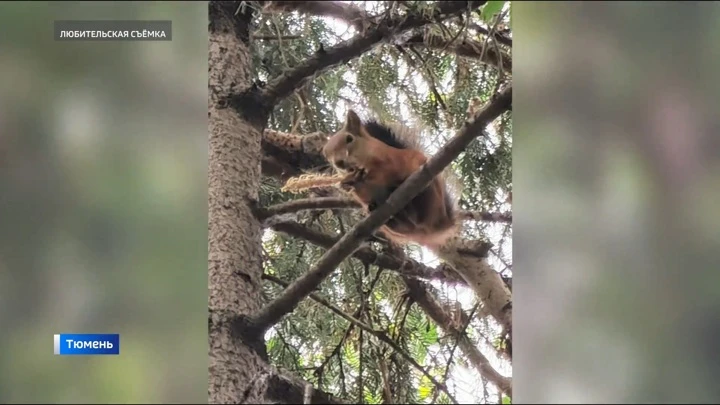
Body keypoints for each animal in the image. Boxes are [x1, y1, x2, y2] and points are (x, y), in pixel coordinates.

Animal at [322, 110, 458, 249]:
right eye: (327, 155)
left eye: (349, 138)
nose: (338, 163)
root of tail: (441, 224)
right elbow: (360, 192)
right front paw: (345, 184)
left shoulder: (389, 160)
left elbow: (383, 171)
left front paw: (362, 176)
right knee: (406, 225)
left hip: (429, 191)